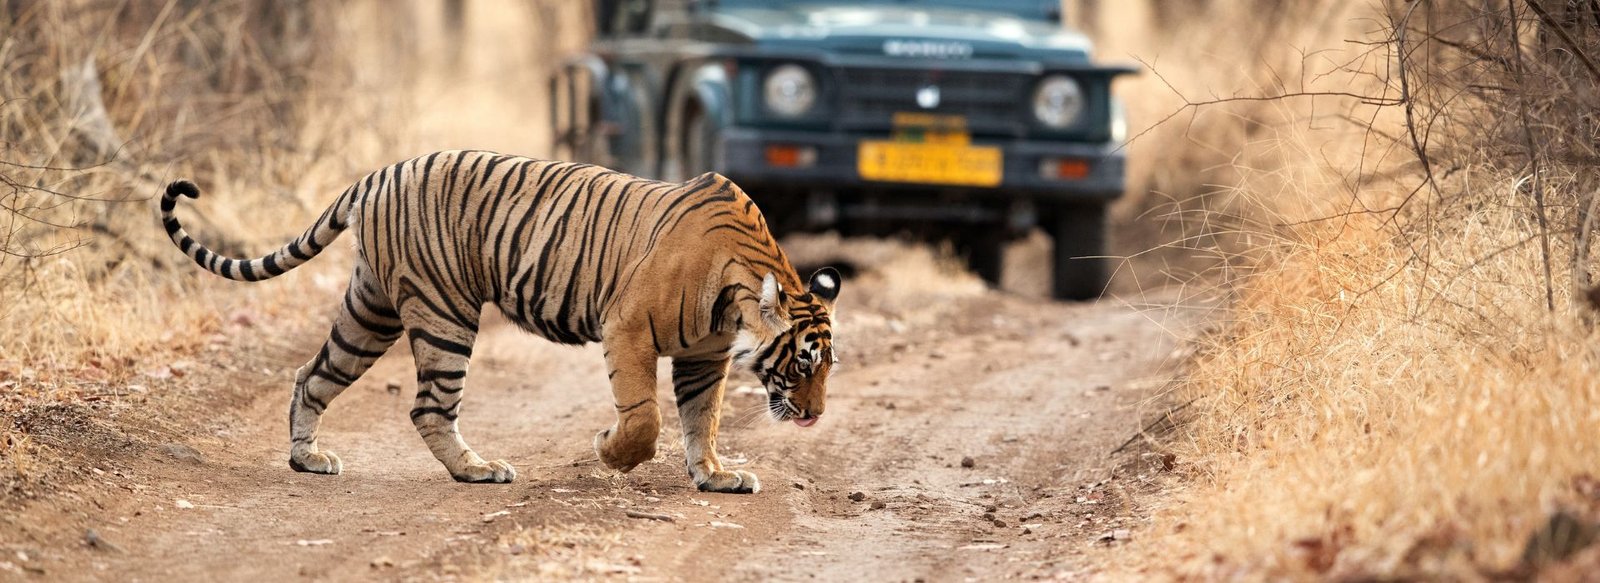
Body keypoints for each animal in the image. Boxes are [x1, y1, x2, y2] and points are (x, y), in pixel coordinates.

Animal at [159, 150, 840, 493]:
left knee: (312, 374)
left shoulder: (705, 355)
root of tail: (376, 174)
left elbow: (704, 419)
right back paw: (477, 470)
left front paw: (716, 475)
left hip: (371, 310)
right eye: (803, 361)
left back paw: (308, 459)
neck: (738, 292)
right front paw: (610, 451)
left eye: (827, 365)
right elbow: (645, 417)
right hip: (444, 312)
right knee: (428, 406)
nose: (814, 416)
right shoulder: (627, 328)